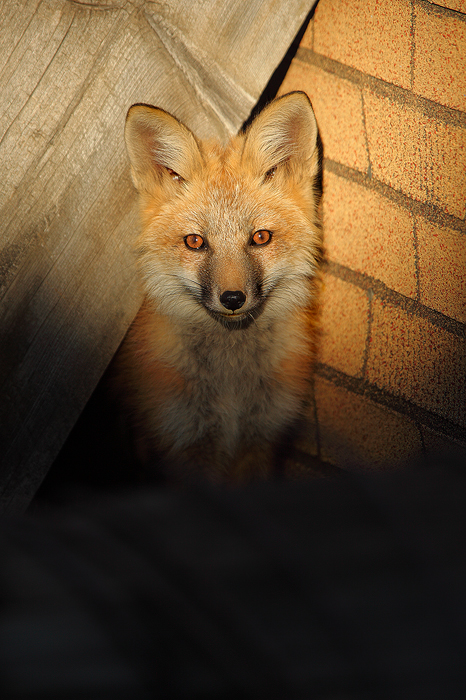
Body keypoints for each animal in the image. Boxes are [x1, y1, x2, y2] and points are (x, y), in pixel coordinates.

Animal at [116, 91, 322, 483]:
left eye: (261, 238)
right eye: (195, 242)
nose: (232, 299)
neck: (231, 387)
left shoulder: (260, 438)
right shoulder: (184, 441)